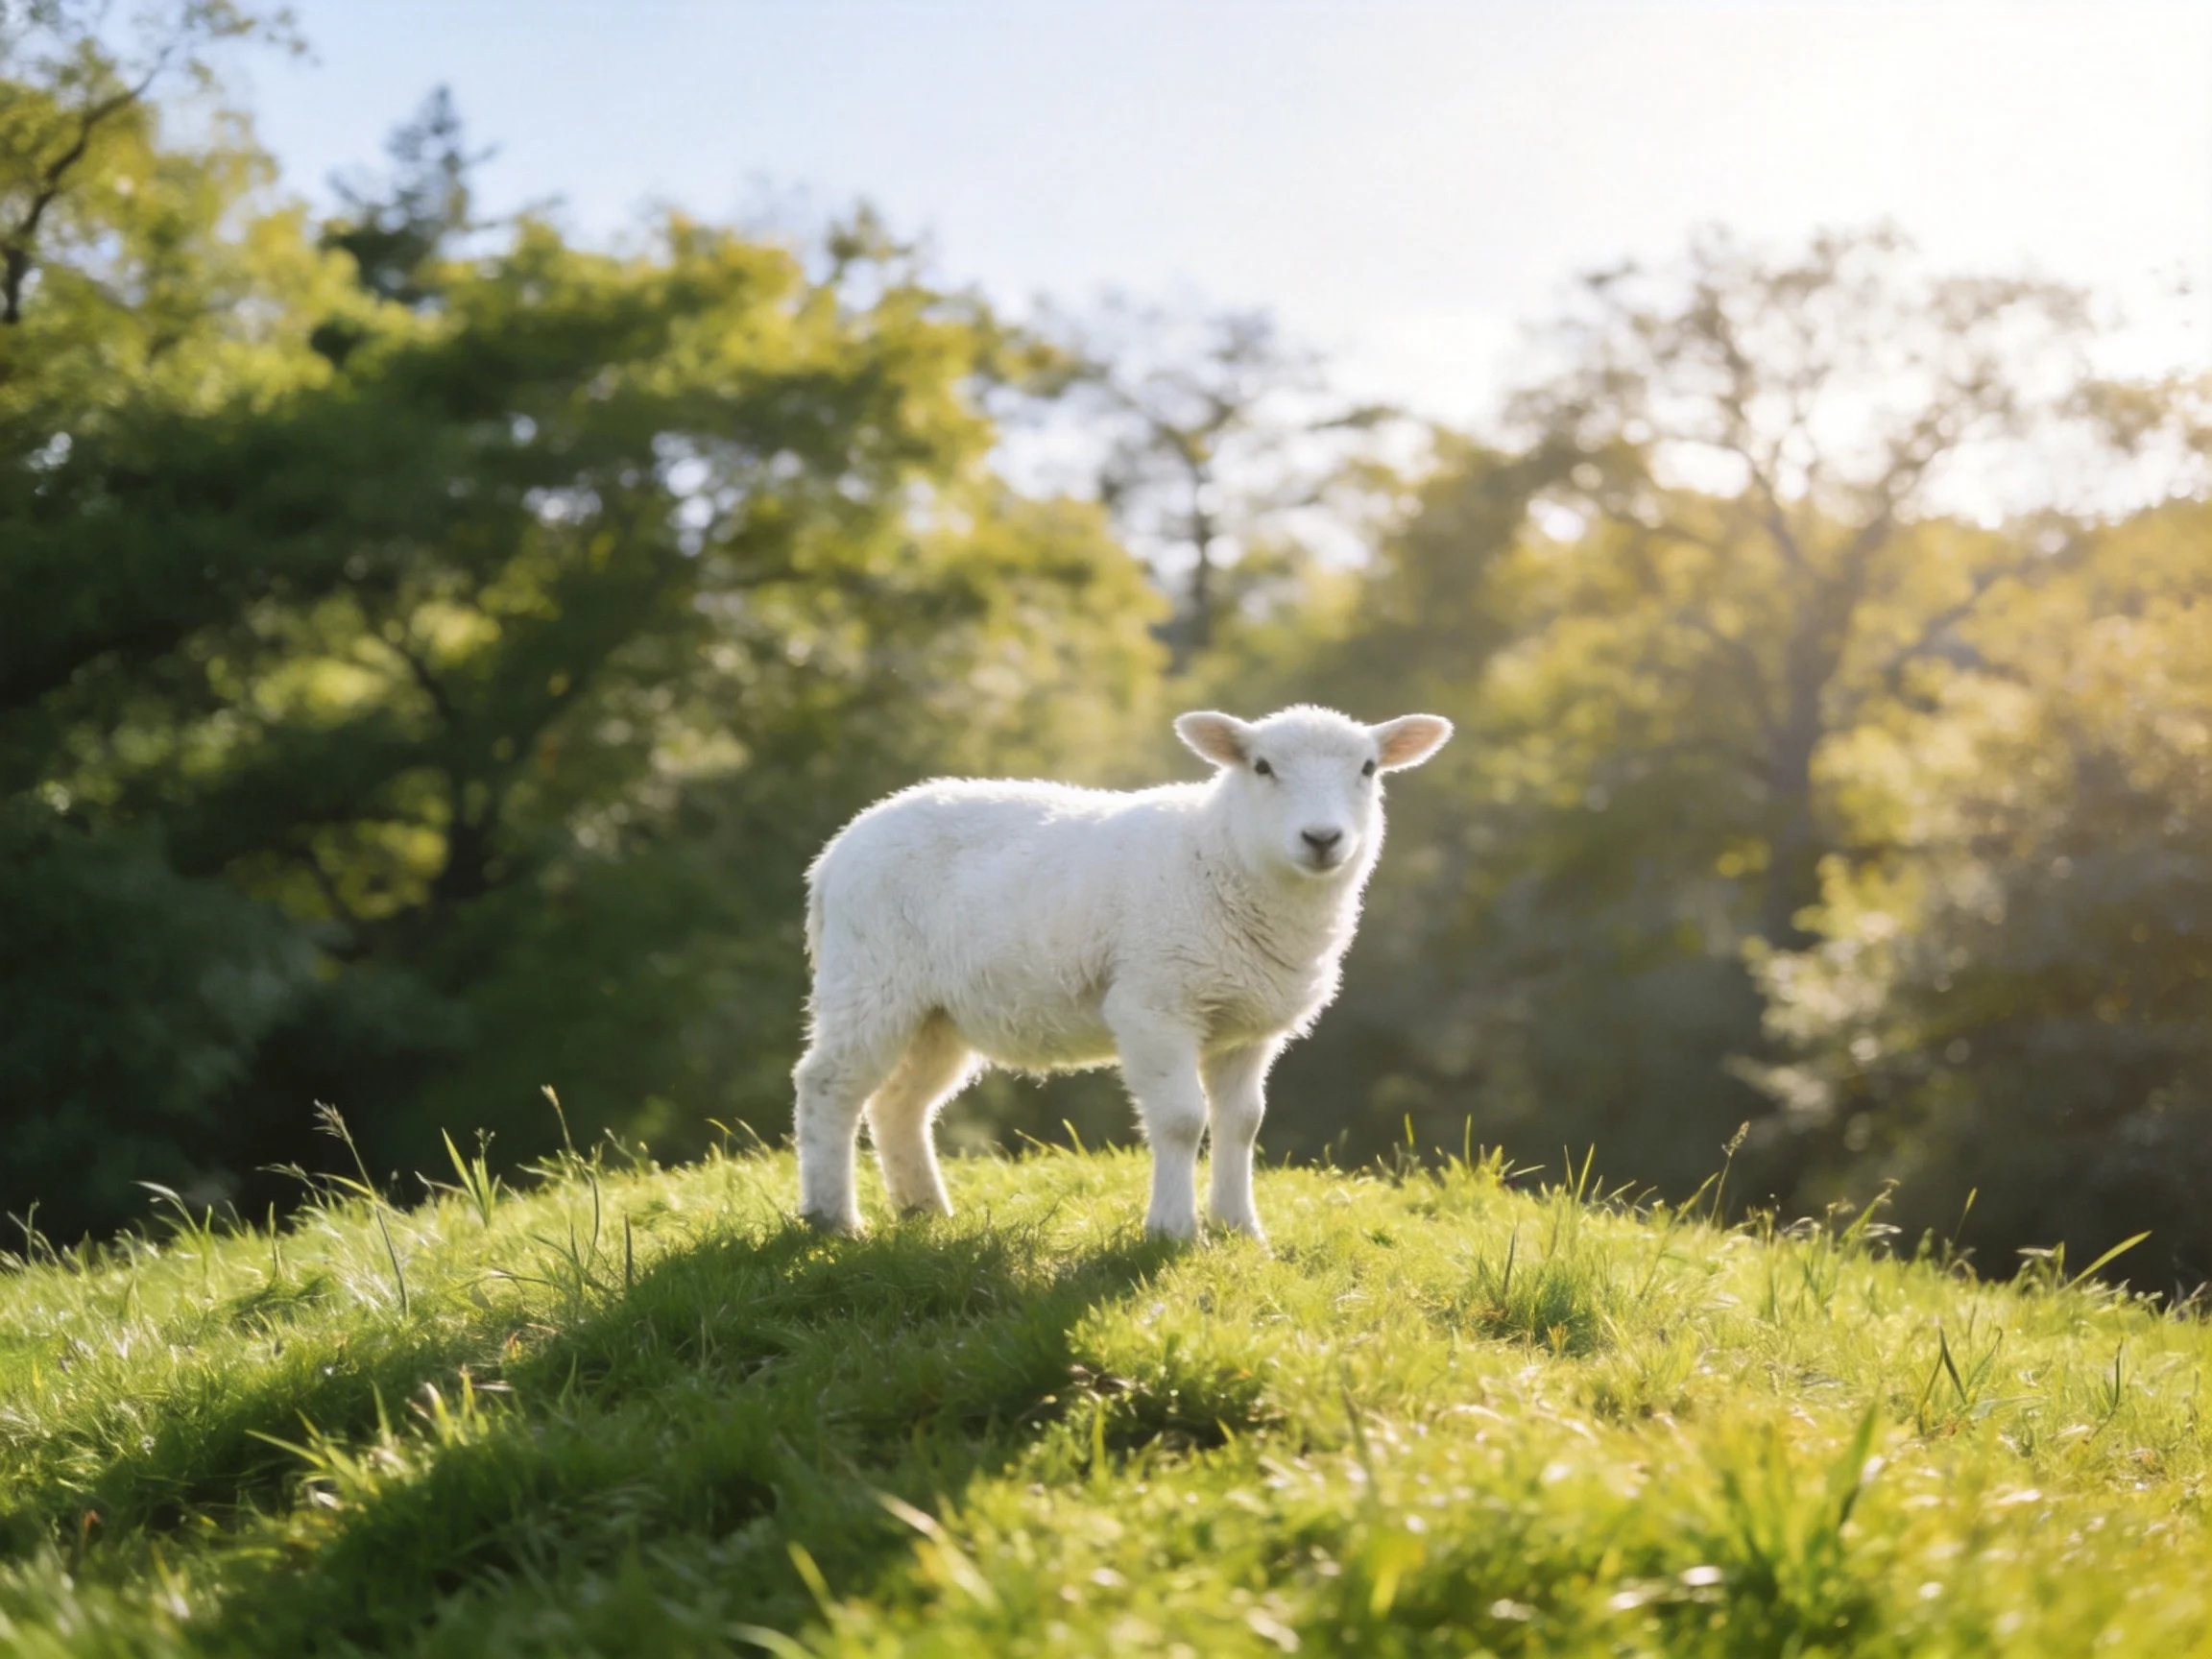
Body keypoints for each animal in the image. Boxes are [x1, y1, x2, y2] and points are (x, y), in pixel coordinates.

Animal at [791, 704, 1453, 1242]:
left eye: (1368, 768)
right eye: (1262, 767)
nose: (1322, 838)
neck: (1216, 855)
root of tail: (835, 853)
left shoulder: (1246, 1025)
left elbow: (1242, 1123)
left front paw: (1241, 1230)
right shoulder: (1154, 1004)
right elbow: (1183, 1120)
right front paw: (1174, 1231)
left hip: (937, 1012)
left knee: (898, 1102)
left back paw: (924, 1210)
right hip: (870, 978)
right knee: (828, 1085)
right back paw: (833, 1219)